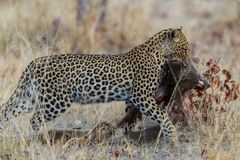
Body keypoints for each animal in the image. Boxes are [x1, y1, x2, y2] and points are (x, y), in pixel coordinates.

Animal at [0, 27, 191, 144]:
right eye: (185, 49)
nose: (188, 62)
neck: (160, 55)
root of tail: (33, 63)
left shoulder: (131, 98)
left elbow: (129, 118)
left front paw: (126, 136)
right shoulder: (141, 96)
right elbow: (162, 116)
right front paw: (172, 136)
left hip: (29, 97)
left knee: (6, 110)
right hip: (56, 101)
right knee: (34, 119)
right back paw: (40, 138)